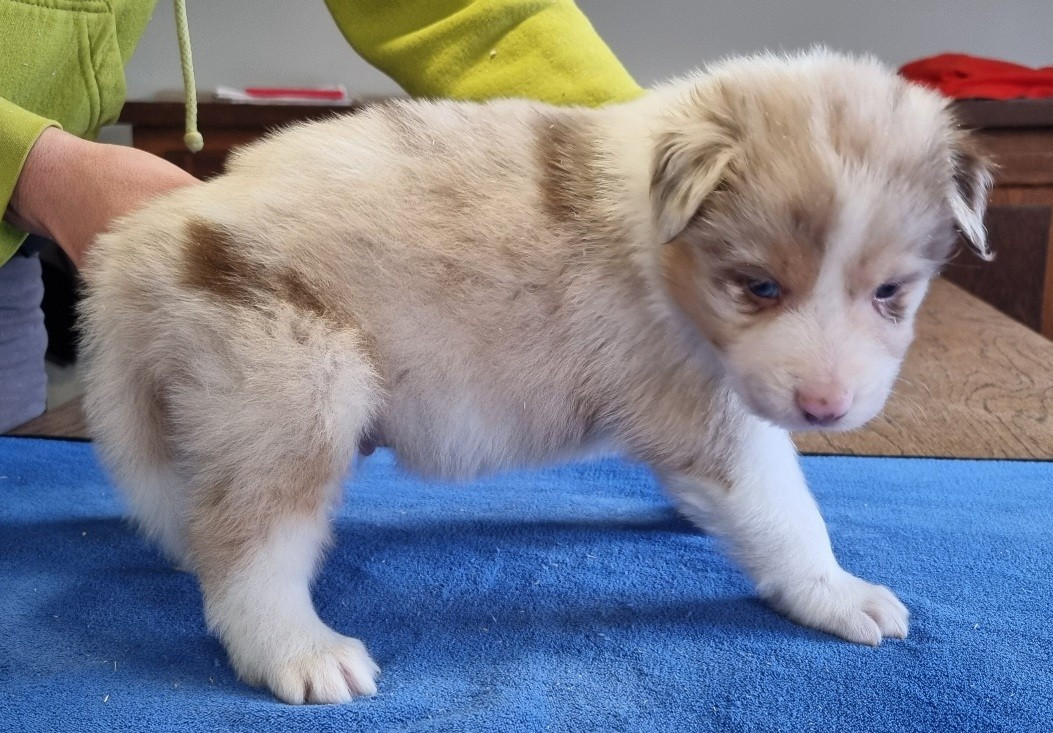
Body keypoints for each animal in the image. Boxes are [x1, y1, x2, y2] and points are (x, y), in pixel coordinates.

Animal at [79, 49, 992, 704]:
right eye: (758, 286)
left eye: (889, 292)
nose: (824, 407)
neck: (665, 247)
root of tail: (147, 241)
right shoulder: (704, 410)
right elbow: (785, 510)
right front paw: (840, 593)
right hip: (292, 393)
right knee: (248, 546)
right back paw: (302, 652)